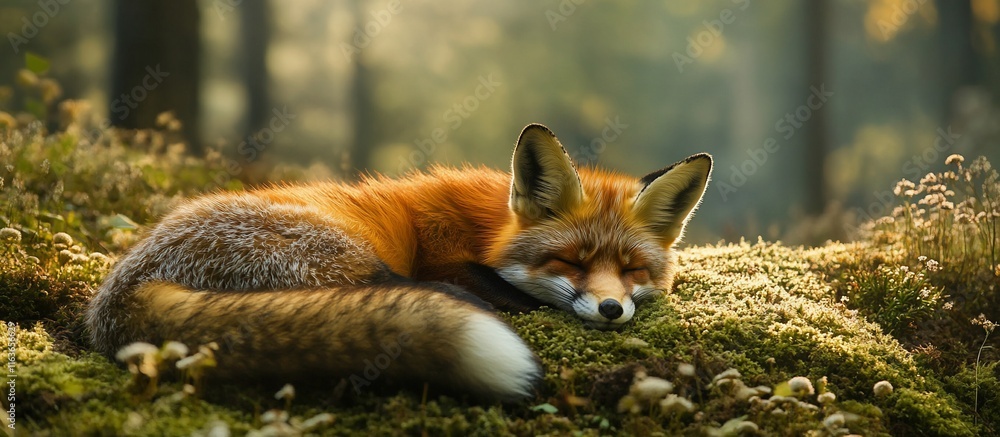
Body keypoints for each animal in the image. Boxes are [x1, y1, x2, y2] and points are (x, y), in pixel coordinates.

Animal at [86, 123, 712, 401]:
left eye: (632, 270)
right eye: (569, 262)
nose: (610, 309)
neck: (483, 226)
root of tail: (115, 296)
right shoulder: (445, 261)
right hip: (354, 264)